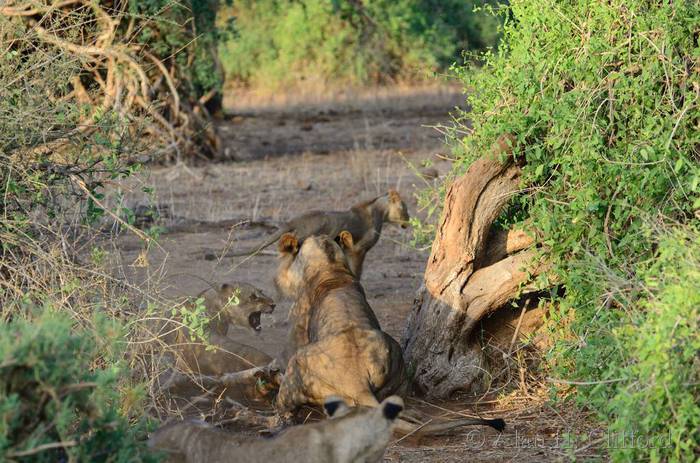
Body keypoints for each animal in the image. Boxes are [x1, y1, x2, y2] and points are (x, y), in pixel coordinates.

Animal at [222, 189, 410, 279]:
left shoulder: (350, 248)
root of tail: (294, 220)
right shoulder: (359, 249)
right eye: (404, 208)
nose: (409, 220)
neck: (380, 213)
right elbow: (357, 270)